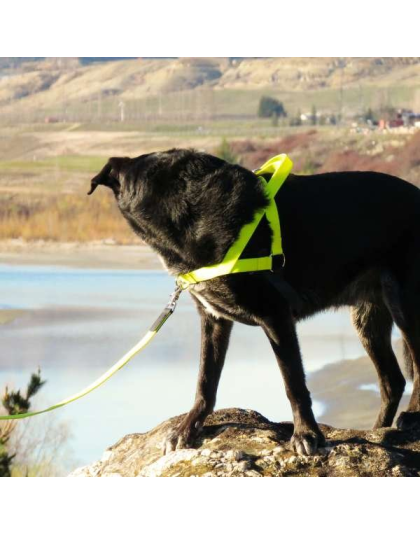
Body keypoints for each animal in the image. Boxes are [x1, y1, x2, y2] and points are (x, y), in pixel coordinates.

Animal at [88, 151, 420, 456]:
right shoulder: (213, 319)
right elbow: (205, 382)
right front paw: (189, 428)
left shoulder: (276, 317)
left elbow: (294, 384)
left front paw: (306, 434)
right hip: (368, 319)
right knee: (393, 380)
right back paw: (378, 432)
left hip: (405, 305)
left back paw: (411, 417)